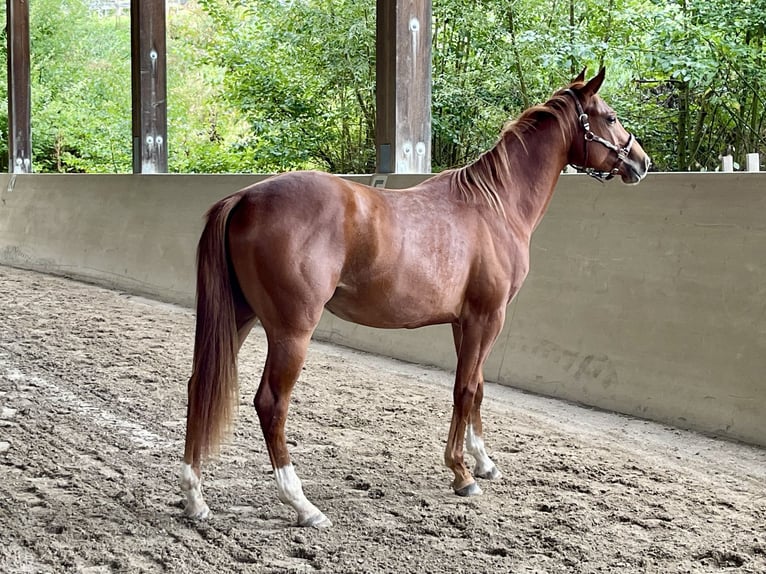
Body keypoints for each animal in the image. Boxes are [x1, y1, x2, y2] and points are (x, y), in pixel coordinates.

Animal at [180, 68, 651, 528]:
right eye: (609, 117)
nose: (641, 162)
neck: (494, 206)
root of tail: (244, 196)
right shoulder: (487, 318)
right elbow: (464, 390)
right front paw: (461, 474)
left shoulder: (467, 323)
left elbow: (477, 388)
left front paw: (483, 462)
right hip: (291, 332)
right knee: (271, 405)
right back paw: (302, 505)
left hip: (241, 318)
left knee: (199, 385)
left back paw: (195, 497)